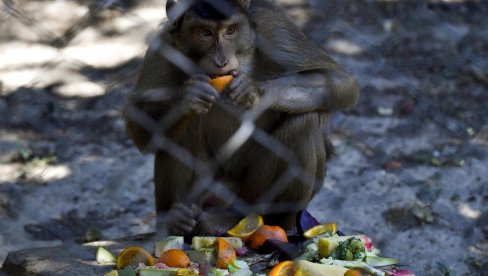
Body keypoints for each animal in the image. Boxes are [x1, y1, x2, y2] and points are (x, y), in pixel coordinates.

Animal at [123, 0, 358, 237]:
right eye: (205, 33)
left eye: (231, 31)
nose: (221, 61)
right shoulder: (164, 47)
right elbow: (139, 122)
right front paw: (187, 98)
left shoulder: (273, 28)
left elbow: (340, 82)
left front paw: (252, 91)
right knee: (177, 131)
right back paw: (174, 220)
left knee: (304, 122)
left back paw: (238, 218)